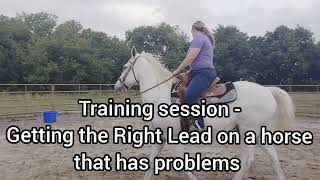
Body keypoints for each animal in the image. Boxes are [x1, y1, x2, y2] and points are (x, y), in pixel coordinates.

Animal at [114, 47, 296, 180]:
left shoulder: (173, 136)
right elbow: (151, 162)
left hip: (247, 131)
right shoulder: (161, 137)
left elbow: (181, 163)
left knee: (247, 160)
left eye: (125, 67)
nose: (117, 86)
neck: (160, 95)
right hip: (257, 133)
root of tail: (267, 90)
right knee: (273, 157)